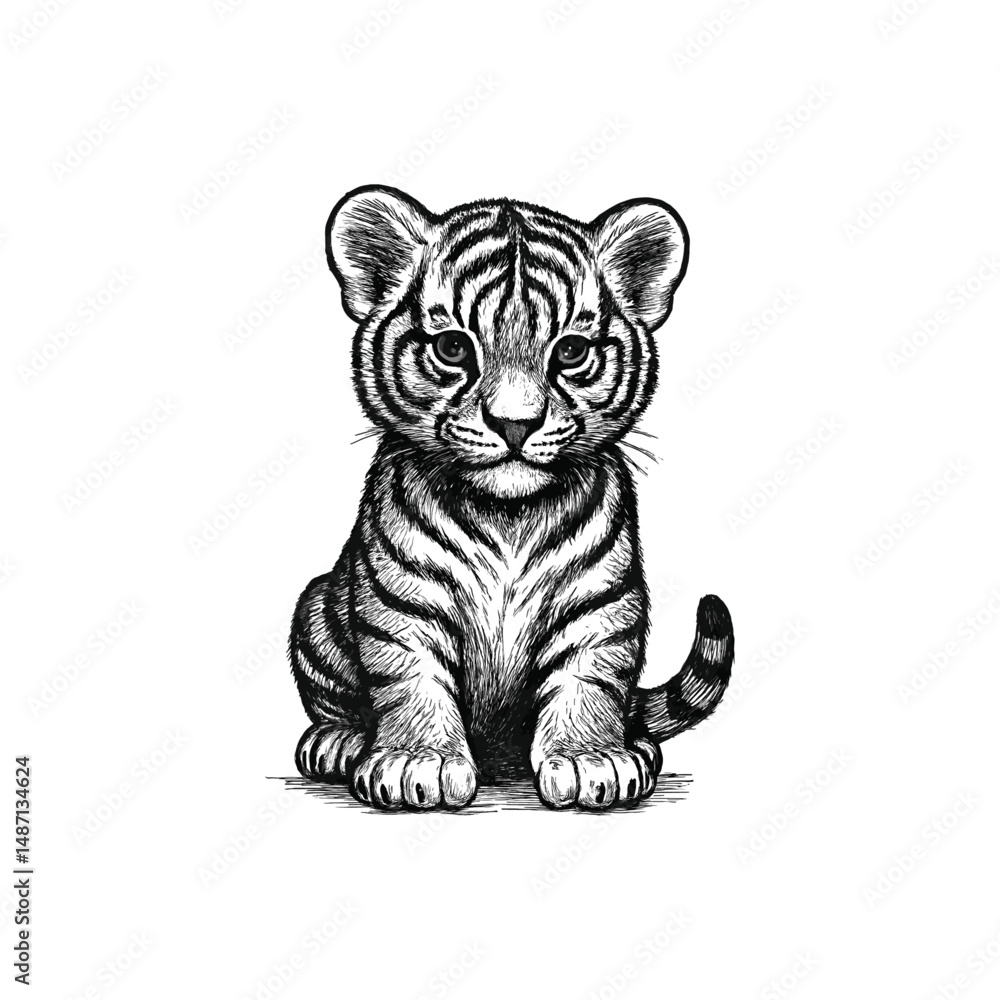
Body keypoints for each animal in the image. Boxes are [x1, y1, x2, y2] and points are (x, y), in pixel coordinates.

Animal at [289, 185, 734, 810]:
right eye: (453, 347)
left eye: (571, 352)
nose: (515, 424)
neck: (509, 515)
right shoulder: (403, 602)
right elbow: (410, 679)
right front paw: (417, 762)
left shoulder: (599, 604)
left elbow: (588, 680)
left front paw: (590, 760)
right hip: (316, 607)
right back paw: (338, 741)